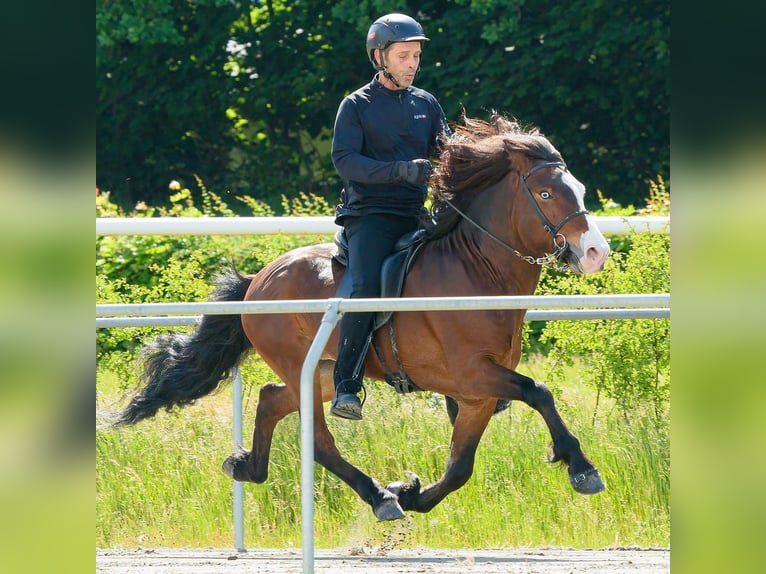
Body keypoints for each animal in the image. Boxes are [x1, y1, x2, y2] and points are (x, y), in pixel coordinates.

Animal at [112, 113, 612, 520]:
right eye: (546, 192)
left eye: (580, 191)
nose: (596, 252)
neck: (476, 273)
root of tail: (258, 278)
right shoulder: (471, 376)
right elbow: (539, 392)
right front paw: (581, 468)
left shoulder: (476, 395)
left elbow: (461, 467)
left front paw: (412, 492)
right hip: (302, 366)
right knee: (319, 440)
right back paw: (377, 497)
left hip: (323, 372)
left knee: (272, 398)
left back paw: (252, 467)